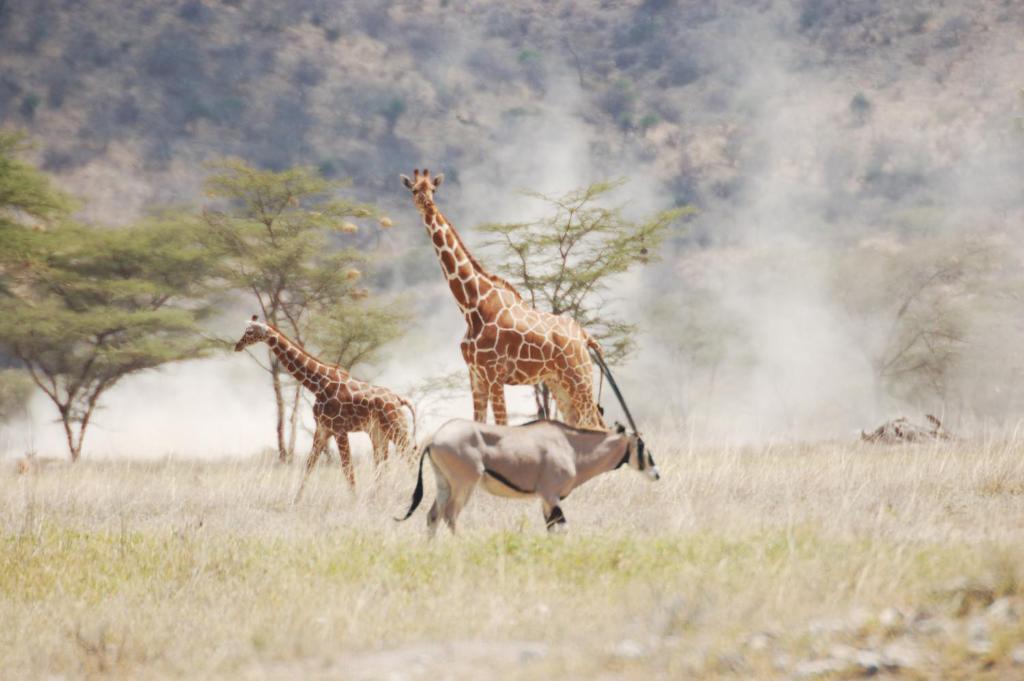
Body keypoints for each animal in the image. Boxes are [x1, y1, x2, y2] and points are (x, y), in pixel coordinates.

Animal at [235, 315, 415, 499]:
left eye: (250, 331)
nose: (237, 345)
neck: (319, 384)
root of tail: (398, 399)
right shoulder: (322, 428)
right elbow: (309, 465)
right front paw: (296, 500)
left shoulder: (339, 429)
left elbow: (347, 468)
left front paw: (354, 499)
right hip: (378, 433)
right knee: (383, 463)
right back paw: (379, 495)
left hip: (396, 428)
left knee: (410, 455)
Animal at [399, 166, 606, 428]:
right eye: (414, 189)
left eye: (433, 189)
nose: (427, 204)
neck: (471, 307)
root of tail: (585, 336)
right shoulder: (475, 375)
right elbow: (478, 422)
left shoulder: (494, 373)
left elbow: (501, 425)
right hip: (559, 383)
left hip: (580, 378)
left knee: (599, 425)